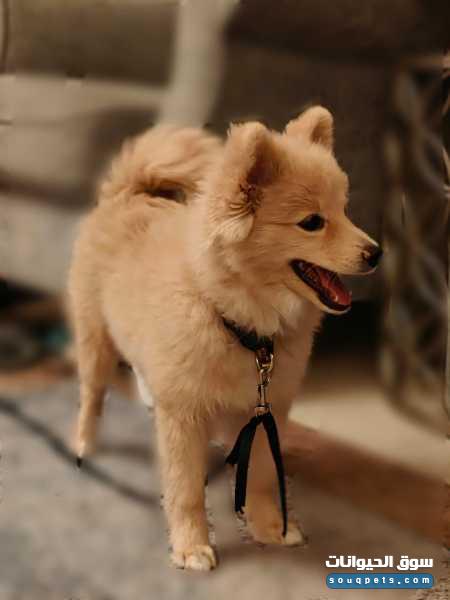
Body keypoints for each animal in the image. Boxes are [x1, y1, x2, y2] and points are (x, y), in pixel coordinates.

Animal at [68, 106, 381, 571]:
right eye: (312, 223)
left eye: (344, 211)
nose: (376, 253)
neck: (241, 325)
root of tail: (128, 193)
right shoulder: (183, 416)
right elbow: (184, 490)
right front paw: (191, 546)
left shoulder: (268, 410)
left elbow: (265, 476)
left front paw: (270, 528)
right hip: (95, 342)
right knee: (91, 396)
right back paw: (85, 444)